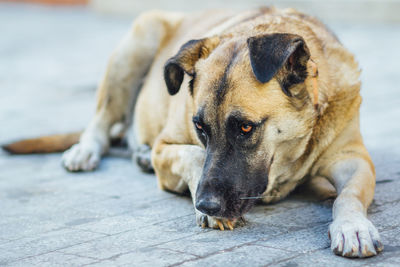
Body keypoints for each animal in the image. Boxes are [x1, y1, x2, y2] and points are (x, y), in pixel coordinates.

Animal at [3, 6, 384, 258]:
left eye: (246, 127)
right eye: (200, 127)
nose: (206, 203)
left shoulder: (354, 160)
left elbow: (348, 195)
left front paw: (353, 226)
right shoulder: (166, 147)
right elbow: (196, 158)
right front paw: (204, 208)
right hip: (139, 37)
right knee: (102, 118)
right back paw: (87, 150)